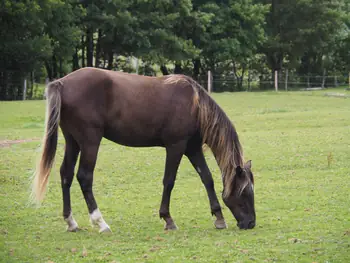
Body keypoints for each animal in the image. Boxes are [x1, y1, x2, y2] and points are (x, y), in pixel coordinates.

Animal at [31, 67, 256, 233]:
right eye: (245, 192)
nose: (251, 223)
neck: (195, 105)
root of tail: (62, 83)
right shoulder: (176, 147)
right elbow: (169, 181)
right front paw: (168, 219)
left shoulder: (192, 149)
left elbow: (207, 178)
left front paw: (219, 218)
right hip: (90, 142)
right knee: (84, 177)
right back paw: (101, 222)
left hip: (73, 142)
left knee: (66, 175)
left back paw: (71, 223)